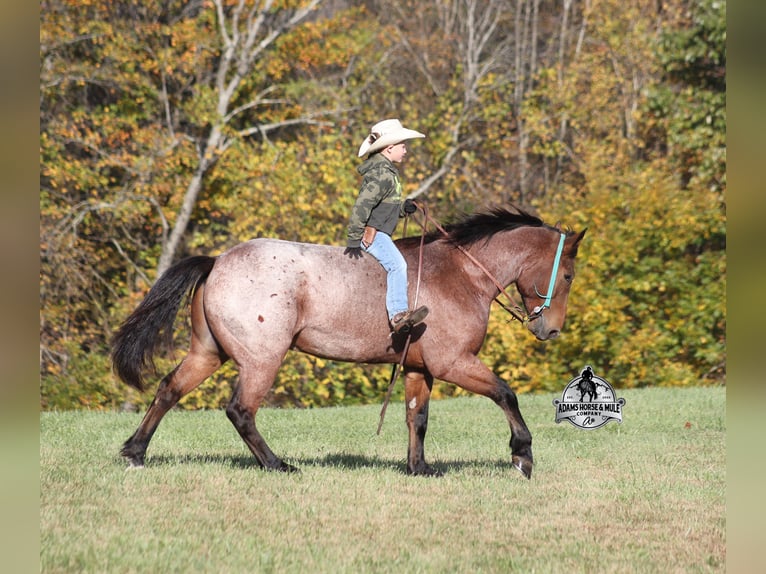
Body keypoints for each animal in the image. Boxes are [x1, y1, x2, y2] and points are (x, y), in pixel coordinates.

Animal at [111, 207, 586, 479]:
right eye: (567, 276)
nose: (551, 330)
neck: (462, 274)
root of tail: (217, 261)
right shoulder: (454, 363)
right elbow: (506, 394)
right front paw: (522, 455)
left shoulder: (420, 368)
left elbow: (417, 418)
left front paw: (419, 468)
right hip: (262, 359)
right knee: (240, 410)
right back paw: (277, 465)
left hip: (208, 353)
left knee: (169, 389)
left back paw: (135, 453)